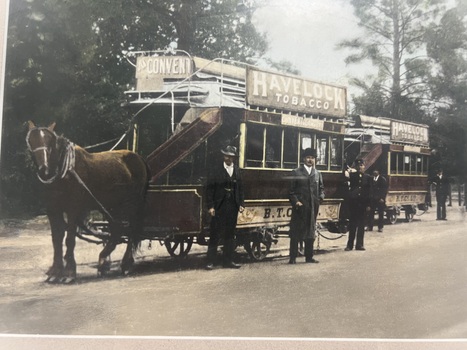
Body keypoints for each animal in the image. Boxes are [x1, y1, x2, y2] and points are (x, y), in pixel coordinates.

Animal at [26, 121, 150, 284]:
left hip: (132, 205)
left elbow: (70, 238)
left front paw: (69, 272)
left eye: (50, 141)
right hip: (111, 206)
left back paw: (126, 264)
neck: (64, 173)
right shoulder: (52, 210)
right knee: (117, 230)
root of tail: (139, 159)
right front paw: (55, 272)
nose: (44, 169)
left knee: (131, 230)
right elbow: (56, 238)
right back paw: (103, 262)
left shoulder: (73, 208)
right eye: (31, 141)